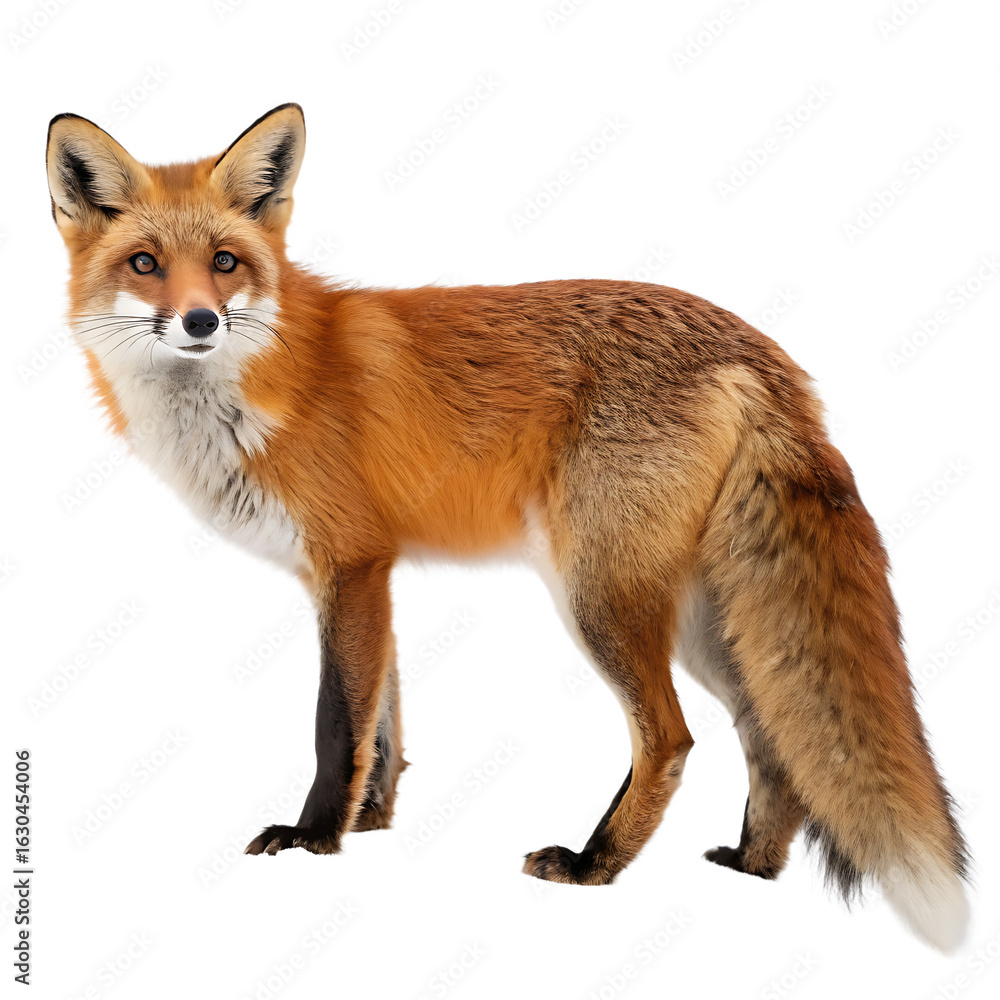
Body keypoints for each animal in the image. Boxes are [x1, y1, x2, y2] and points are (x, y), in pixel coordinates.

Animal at [46, 103, 970, 951]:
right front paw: (370, 823)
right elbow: (383, 723)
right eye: (145, 264)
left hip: (600, 597)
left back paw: (596, 865)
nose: (200, 321)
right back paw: (751, 865)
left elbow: (337, 721)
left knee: (671, 737)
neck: (261, 384)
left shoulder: (351, 564)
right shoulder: (361, 576)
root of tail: (765, 352)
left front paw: (313, 840)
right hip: (707, 621)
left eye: (225, 264)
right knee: (770, 739)